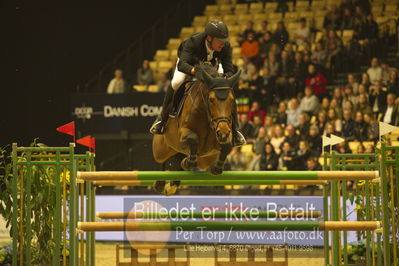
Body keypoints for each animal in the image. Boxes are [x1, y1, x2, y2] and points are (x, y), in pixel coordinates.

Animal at [152, 63, 241, 194]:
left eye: (232, 100)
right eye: (211, 100)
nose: (223, 132)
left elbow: (227, 145)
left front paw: (217, 167)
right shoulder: (183, 133)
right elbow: (193, 138)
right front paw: (188, 162)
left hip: (203, 159)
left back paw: (173, 183)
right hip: (161, 149)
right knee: (162, 159)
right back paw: (161, 184)